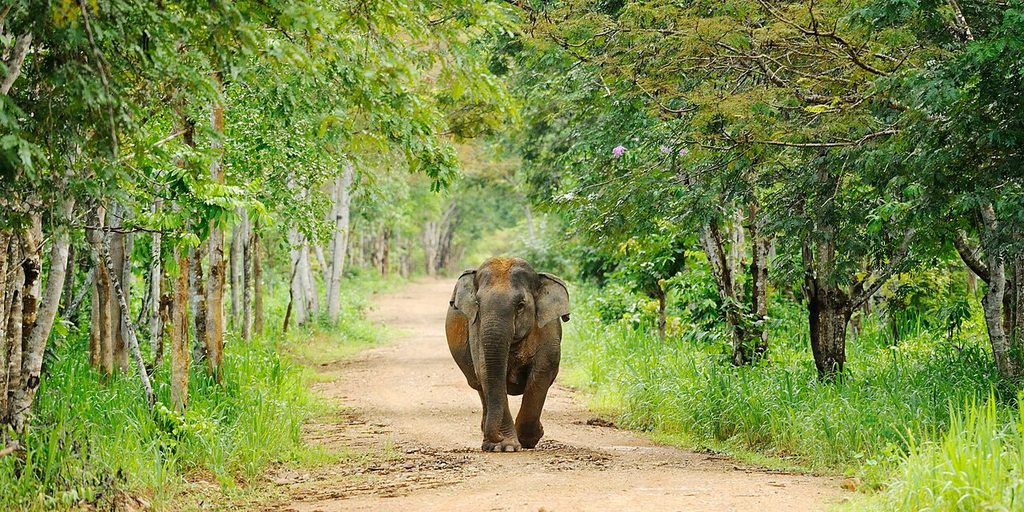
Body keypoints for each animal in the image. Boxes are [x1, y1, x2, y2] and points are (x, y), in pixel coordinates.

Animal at [445, 256, 570, 452]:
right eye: (477, 304)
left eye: (520, 305)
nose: (496, 437)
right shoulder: (476, 330)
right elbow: (488, 373)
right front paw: (505, 446)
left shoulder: (548, 330)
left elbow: (541, 373)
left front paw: (528, 440)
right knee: (481, 387)